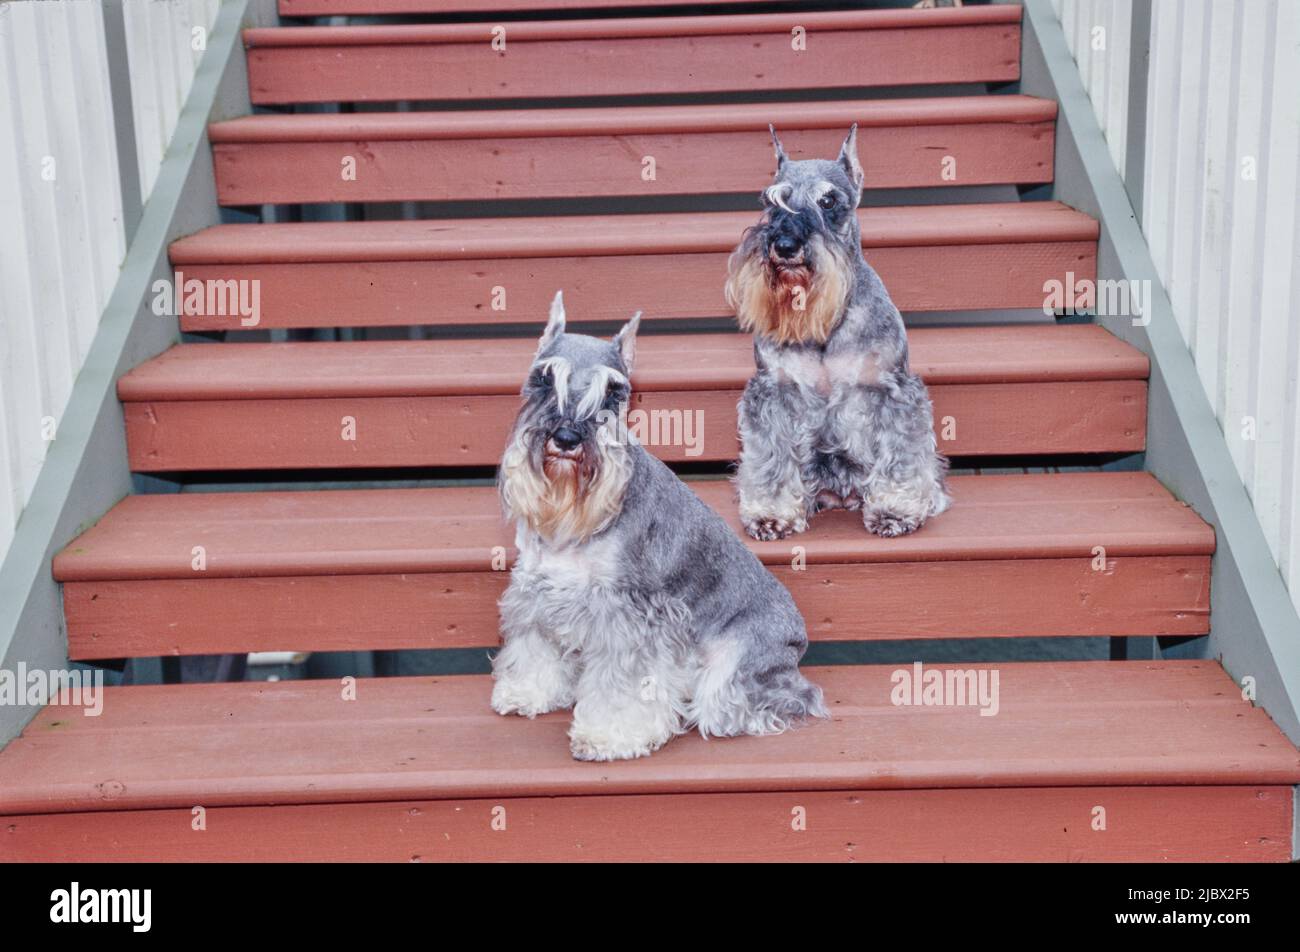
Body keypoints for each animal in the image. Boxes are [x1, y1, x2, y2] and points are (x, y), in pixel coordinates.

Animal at [491, 293, 826, 764]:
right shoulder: (538, 592)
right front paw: (526, 690)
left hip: (738, 665)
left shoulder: (631, 614)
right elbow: (534, 646)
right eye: (543, 379)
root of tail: (798, 641)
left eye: (614, 394)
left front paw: (608, 735)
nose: (568, 438)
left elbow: (624, 683)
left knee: (756, 702)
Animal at [728, 125, 951, 538]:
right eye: (771, 201)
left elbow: (901, 455)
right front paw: (771, 513)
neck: (826, 323)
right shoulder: (773, 392)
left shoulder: (893, 391)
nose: (785, 245)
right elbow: (771, 457)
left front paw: (895, 510)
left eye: (828, 200)